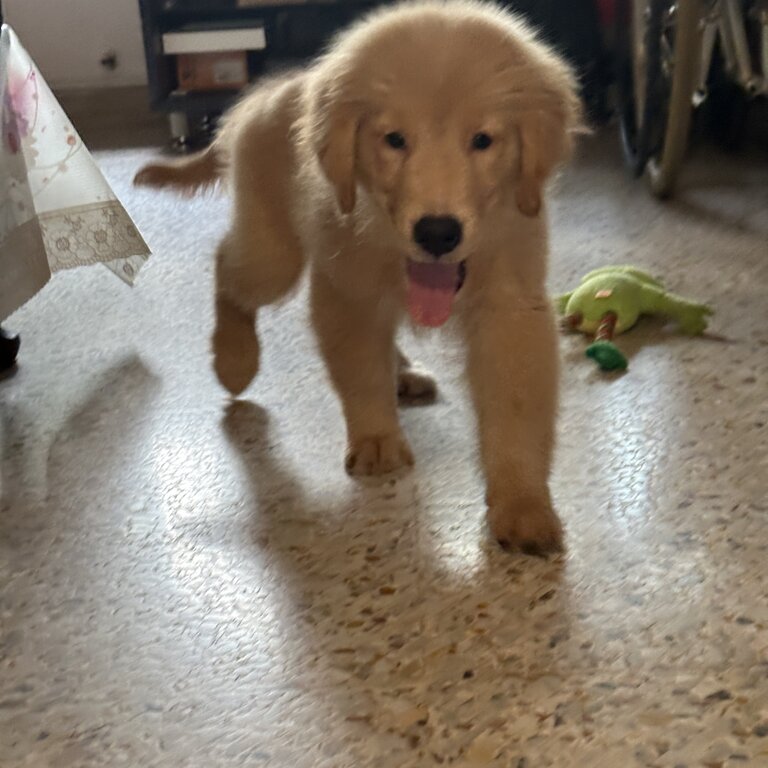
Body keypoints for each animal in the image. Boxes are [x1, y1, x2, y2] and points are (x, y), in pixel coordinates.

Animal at [136, 0, 584, 552]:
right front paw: (376, 439)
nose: (438, 233)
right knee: (228, 265)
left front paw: (523, 504)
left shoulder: (510, 306)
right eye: (394, 140)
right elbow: (360, 371)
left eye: (483, 140)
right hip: (273, 254)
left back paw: (405, 373)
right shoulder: (346, 293)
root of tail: (268, 92)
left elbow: (516, 406)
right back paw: (234, 357)